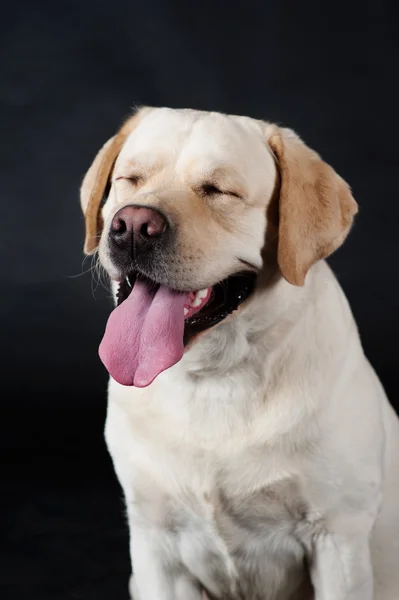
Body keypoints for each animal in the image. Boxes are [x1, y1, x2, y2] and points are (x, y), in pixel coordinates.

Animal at [80, 109, 399, 600]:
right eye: (130, 179)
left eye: (219, 190)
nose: (132, 225)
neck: (215, 376)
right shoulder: (155, 544)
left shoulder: (338, 537)